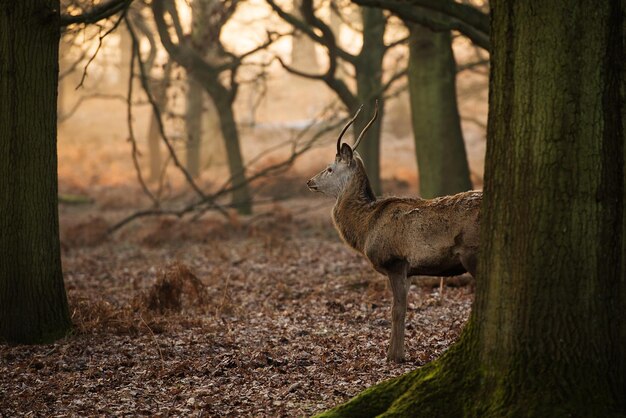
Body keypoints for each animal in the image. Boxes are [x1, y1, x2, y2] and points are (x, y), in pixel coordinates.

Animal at [306, 102, 478, 362]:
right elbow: (404, 307)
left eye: (329, 168)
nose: (309, 181)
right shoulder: (409, 270)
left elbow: (397, 309)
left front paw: (394, 356)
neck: (366, 227)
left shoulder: (395, 261)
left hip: (473, 252)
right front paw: (397, 352)